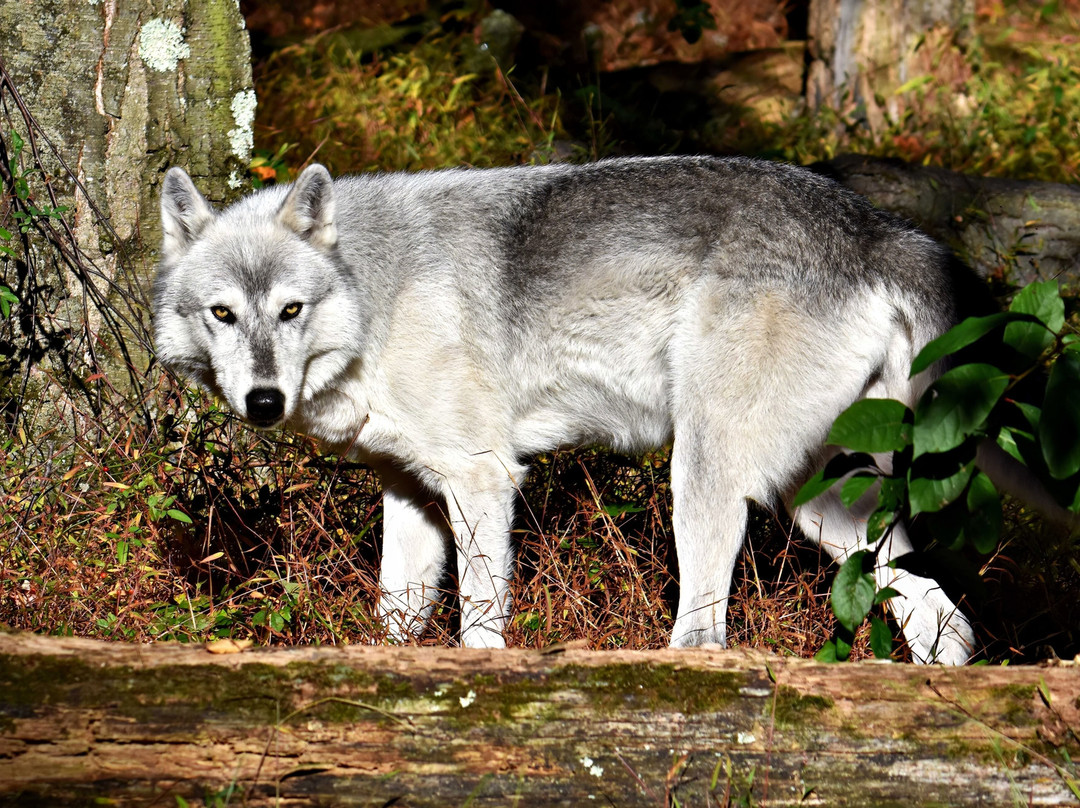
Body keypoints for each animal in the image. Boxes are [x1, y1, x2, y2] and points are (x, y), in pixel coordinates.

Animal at [154, 155, 979, 664]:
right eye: (223, 314)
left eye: (290, 309)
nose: (263, 401)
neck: (376, 293)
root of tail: (882, 231)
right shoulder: (411, 491)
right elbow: (397, 617)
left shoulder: (482, 481)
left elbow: (479, 624)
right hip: (821, 507)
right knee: (944, 614)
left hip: (705, 482)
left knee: (707, 633)